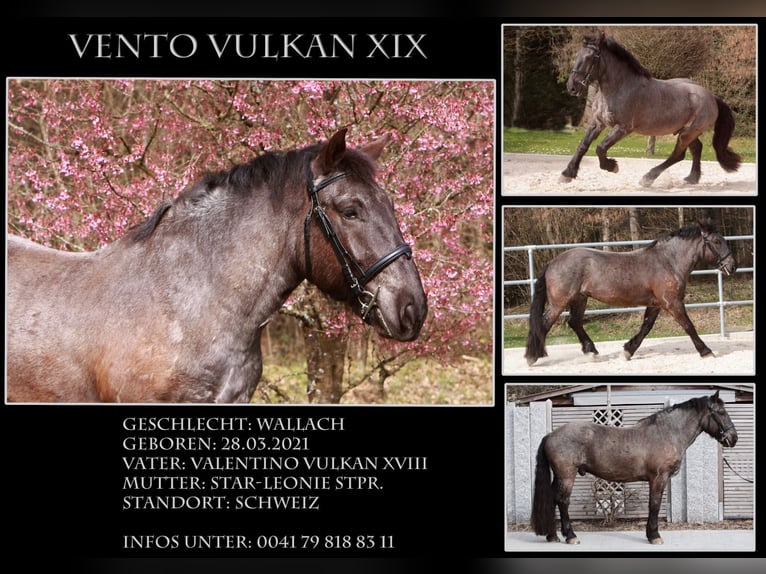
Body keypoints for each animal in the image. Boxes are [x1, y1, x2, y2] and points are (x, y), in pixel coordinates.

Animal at [524, 219, 736, 366]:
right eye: (717, 241)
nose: (732, 266)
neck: (667, 261)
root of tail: (553, 262)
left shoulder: (656, 304)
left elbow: (646, 328)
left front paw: (627, 351)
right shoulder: (672, 303)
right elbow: (688, 326)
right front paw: (706, 351)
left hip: (579, 299)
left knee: (574, 322)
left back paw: (591, 352)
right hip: (559, 302)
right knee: (544, 323)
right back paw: (532, 357)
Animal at [531, 391, 738, 545]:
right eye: (721, 412)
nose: (733, 438)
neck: (666, 433)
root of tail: (550, 435)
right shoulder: (658, 478)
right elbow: (654, 505)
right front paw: (654, 536)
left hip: (559, 476)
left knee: (553, 499)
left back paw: (552, 536)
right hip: (567, 475)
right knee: (562, 501)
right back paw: (571, 536)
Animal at [561, 31, 741, 187]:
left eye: (591, 57)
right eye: (577, 55)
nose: (571, 86)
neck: (619, 88)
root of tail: (711, 96)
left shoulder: (623, 128)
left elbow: (600, 148)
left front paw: (612, 166)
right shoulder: (598, 122)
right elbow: (583, 145)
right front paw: (567, 173)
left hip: (688, 132)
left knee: (678, 154)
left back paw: (648, 178)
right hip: (687, 131)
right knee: (696, 149)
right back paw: (692, 178)